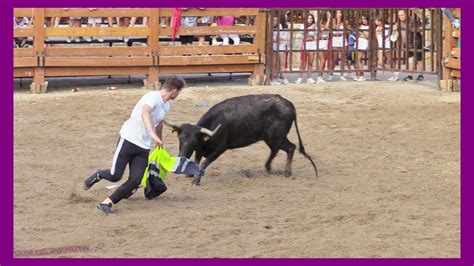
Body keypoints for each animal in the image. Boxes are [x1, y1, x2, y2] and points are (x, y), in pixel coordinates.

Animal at [166, 93, 318, 185]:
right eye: (180, 138)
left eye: (193, 141)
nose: (181, 156)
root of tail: (290, 105)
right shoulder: (200, 148)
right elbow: (197, 160)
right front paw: (191, 175)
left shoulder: (220, 148)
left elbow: (204, 162)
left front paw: (196, 181)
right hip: (272, 138)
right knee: (280, 150)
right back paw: (269, 168)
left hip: (275, 137)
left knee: (289, 148)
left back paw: (286, 172)